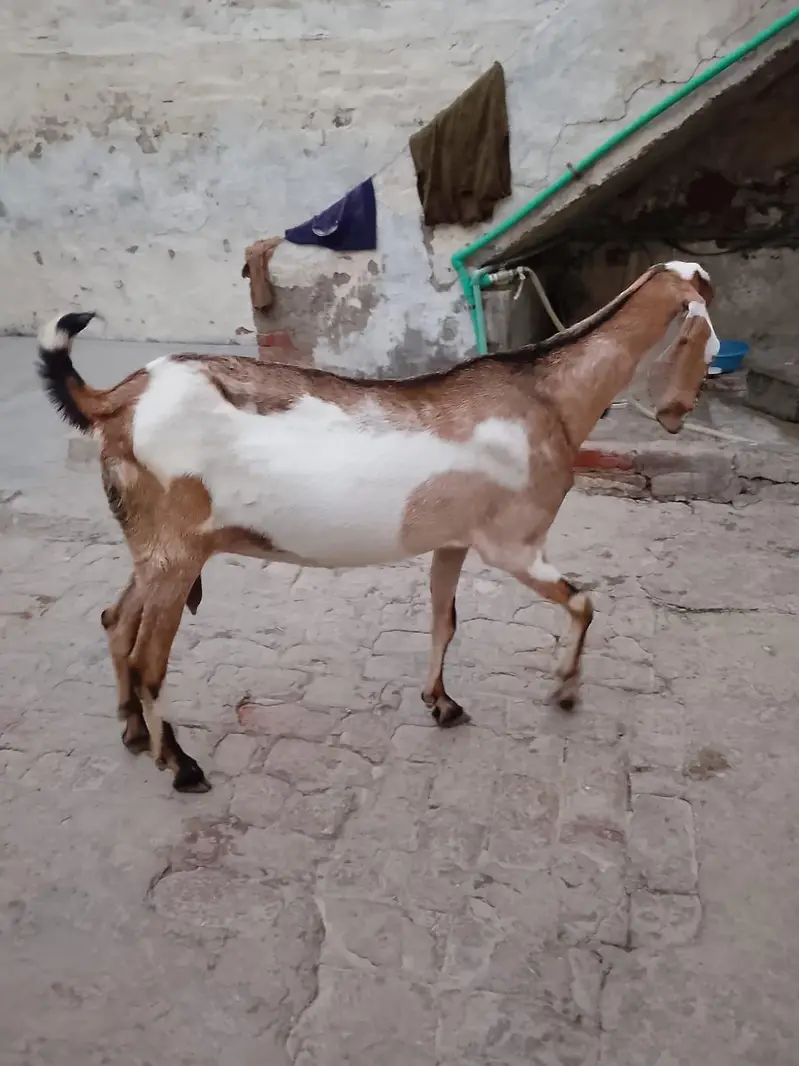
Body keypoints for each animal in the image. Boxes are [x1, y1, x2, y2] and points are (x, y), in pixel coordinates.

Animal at [38, 261, 719, 793]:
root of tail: (117, 400)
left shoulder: (453, 542)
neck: (546, 396)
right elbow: (583, 601)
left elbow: (445, 621)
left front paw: (441, 703)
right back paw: (180, 764)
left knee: (116, 620)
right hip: (178, 554)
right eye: (708, 343)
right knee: (148, 658)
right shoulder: (513, 544)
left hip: (155, 549)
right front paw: (566, 689)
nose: (679, 414)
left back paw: (132, 730)